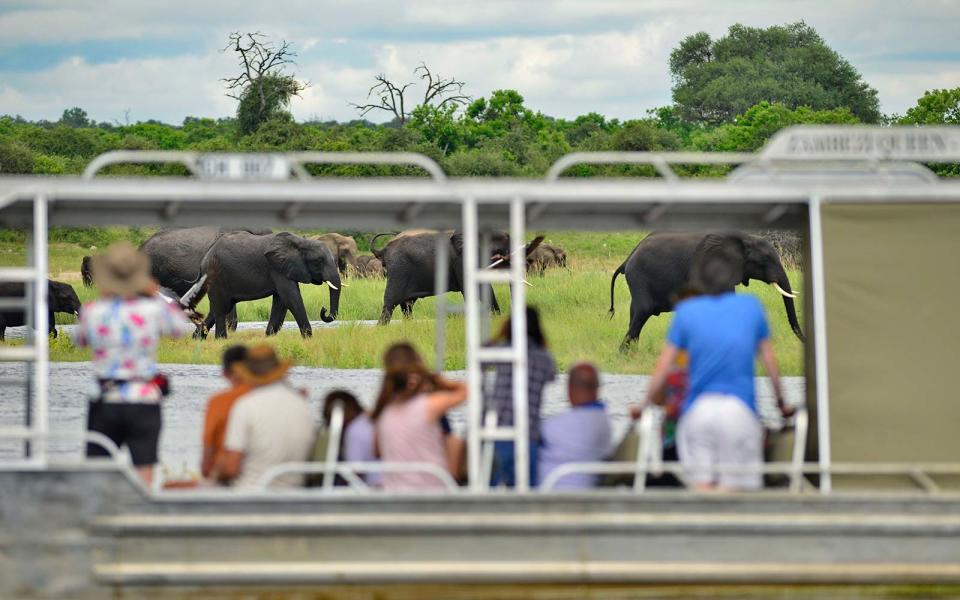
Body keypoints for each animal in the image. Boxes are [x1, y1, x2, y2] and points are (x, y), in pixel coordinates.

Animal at [195, 231, 342, 338]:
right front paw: (308, 338)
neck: (301, 241)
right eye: (319, 261)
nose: (324, 310)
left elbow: (281, 301)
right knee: (220, 309)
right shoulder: (277, 268)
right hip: (216, 276)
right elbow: (291, 298)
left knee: (218, 308)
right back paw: (221, 340)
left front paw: (269, 338)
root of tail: (203, 259)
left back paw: (197, 339)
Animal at [612, 230, 808, 352]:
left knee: (635, 315)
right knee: (642, 311)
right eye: (764, 260)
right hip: (639, 277)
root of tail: (628, 257)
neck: (743, 238)